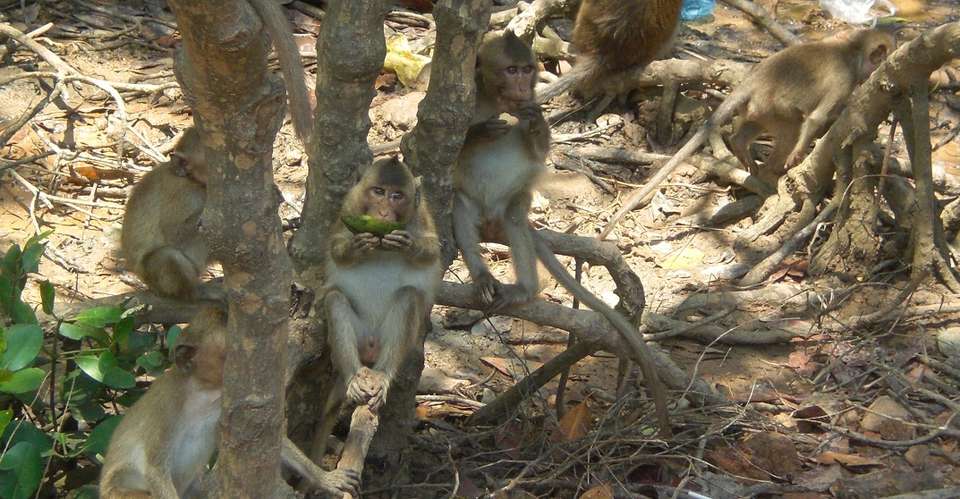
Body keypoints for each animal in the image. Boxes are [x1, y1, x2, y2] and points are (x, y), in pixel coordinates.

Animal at [99, 306, 360, 499]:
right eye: (229, 358)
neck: (200, 391)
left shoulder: (225, 400)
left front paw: (324, 478)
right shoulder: (166, 406)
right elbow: (155, 467)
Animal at [311, 156, 442, 462]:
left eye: (397, 196)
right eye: (379, 191)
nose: (383, 212)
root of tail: (369, 350)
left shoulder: (422, 215)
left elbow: (432, 250)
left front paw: (409, 244)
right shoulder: (348, 207)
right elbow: (335, 248)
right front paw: (356, 246)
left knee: (408, 297)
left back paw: (382, 375)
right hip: (358, 338)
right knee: (335, 300)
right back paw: (354, 378)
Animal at [453, 31, 671, 434]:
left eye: (526, 69)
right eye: (511, 70)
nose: (523, 85)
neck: (495, 100)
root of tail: (490, 214)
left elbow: (538, 151)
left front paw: (534, 121)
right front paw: (479, 131)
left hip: (508, 205)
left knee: (515, 218)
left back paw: (524, 287)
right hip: (472, 206)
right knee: (459, 206)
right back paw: (483, 278)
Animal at [598, 28, 897, 239]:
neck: (850, 49)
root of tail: (753, 79)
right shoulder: (844, 81)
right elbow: (816, 119)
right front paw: (800, 152)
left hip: (760, 108)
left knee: (754, 128)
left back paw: (742, 149)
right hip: (772, 105)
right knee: (791, 128)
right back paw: (771, 174)